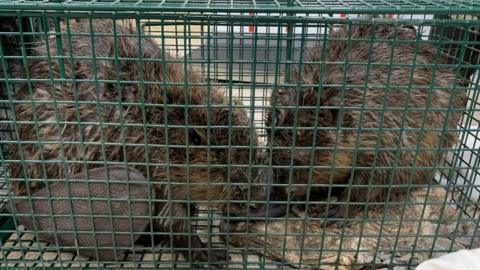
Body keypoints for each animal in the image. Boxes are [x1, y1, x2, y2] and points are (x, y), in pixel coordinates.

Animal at [264, 21, 466, 224]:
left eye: (302, 156)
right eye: (270, 149)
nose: (280, 192)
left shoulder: (389, 134)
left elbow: (377, 177)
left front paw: (336, 211)